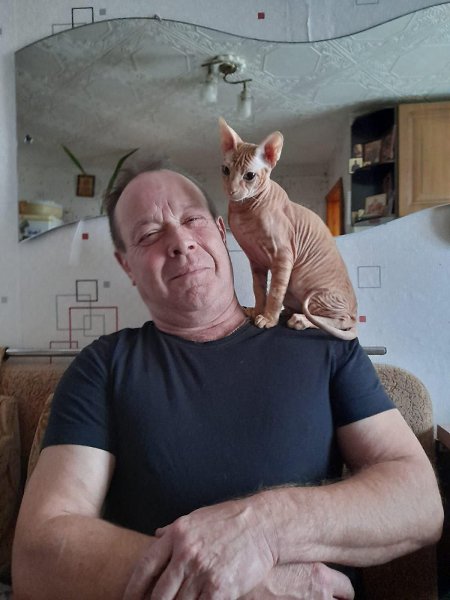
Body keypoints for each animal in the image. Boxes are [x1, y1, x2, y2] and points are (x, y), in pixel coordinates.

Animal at [219, 117, 358, 341]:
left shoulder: (283, 256)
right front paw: (258, 311)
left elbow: (275, 291)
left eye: (249, 176)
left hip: (307, 283)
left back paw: (301, 320)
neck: (244, 209)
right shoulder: (255, 259)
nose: (231, 191)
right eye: (225, 170)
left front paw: (268, 319)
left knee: (343, 320)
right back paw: (287, 312)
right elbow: (259, 289)